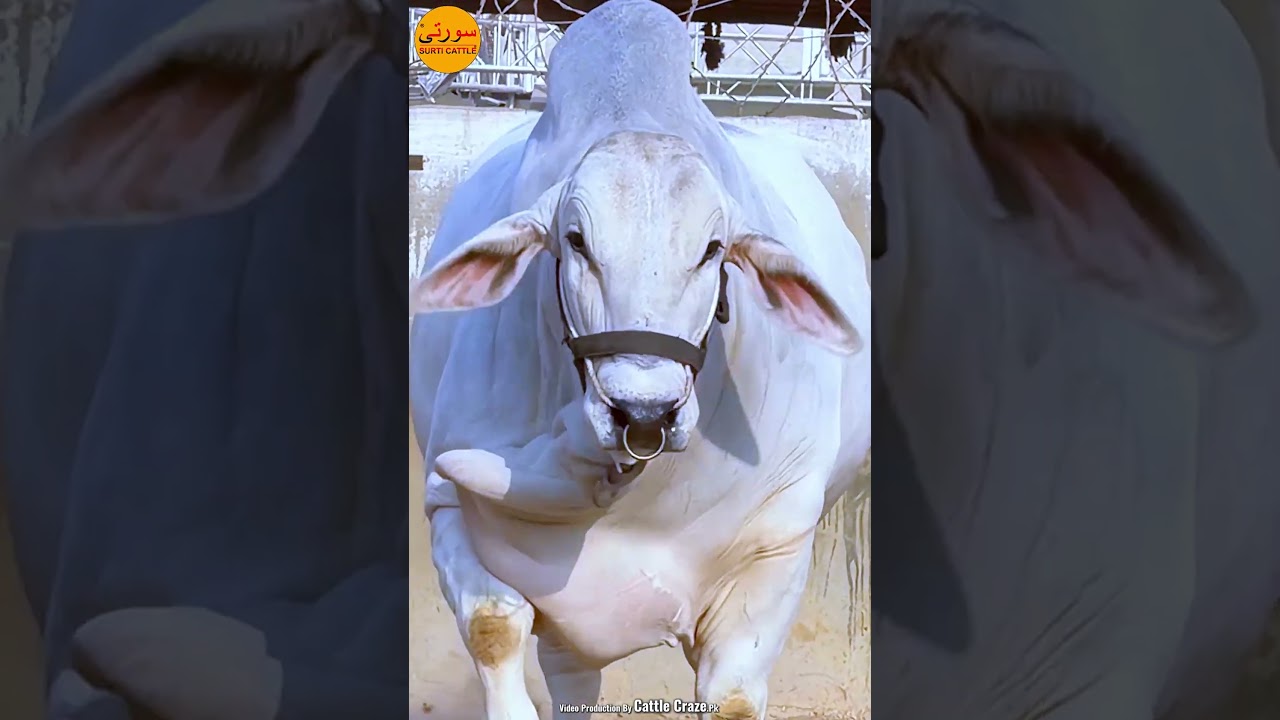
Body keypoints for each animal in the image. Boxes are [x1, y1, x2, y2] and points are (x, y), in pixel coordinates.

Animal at [408, 1, 871, 718]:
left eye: (713, 248)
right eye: (575, 239)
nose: (644, 409)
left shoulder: (775, 546)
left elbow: (732, 696)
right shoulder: (448, 508)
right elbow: (494, 627)